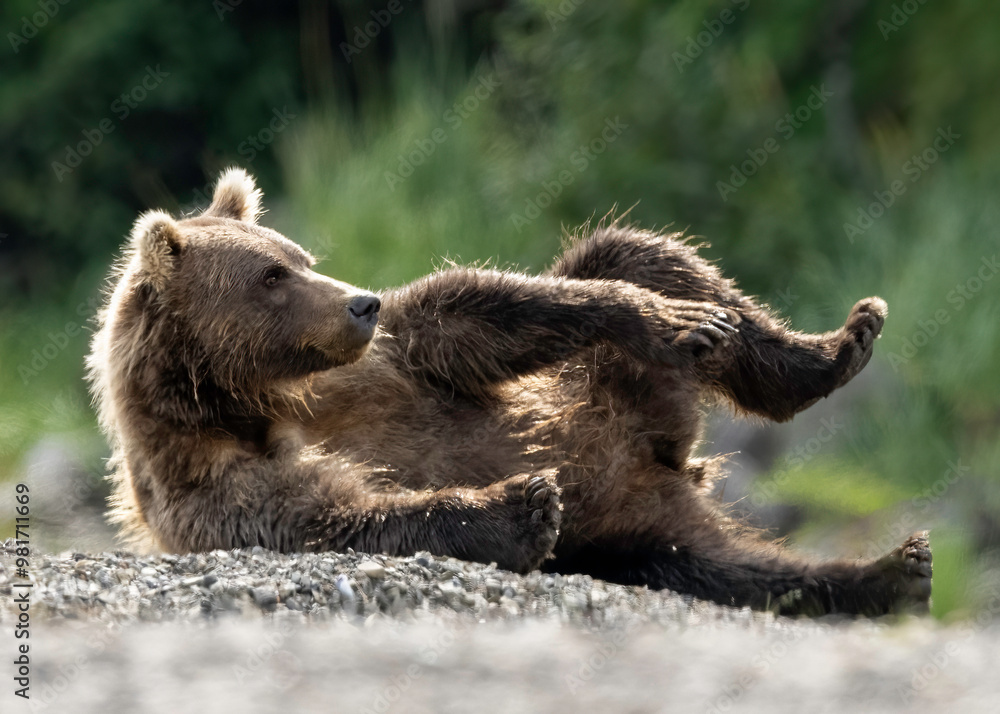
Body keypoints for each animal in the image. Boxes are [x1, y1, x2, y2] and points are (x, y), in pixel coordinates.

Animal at [87, 167, 931, 617]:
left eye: (298, 256)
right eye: (269, 276)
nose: (359, 302)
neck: (255, 395)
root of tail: (666, 456)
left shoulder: (381, 366)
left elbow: (468, 315)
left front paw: (672, 321)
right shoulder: (213, 480)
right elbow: (337, 515)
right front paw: (525, 504)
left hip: (613, 386)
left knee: (635, 250)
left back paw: (835, 350)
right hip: (633, 532)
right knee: (724, 566)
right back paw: (893, 573)